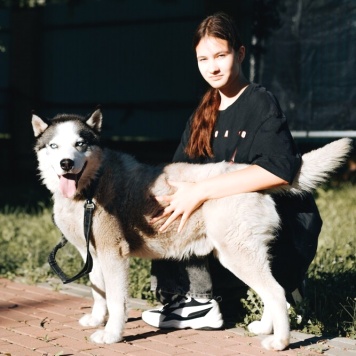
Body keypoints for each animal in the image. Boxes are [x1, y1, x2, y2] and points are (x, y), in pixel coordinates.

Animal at [32, 110, 352, 350]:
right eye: (54, 146)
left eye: (80, 144)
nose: (66, 163)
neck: (93, 184)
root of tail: (250, 174)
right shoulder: (94, 255)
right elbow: (98, 290)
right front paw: (97, 319)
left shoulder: (115, 256)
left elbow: (115, 299)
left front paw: (112, 334)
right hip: (246, 255)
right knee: (274, 293)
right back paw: (265, 328)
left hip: (237, 255)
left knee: (275, 292)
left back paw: (280, 342)